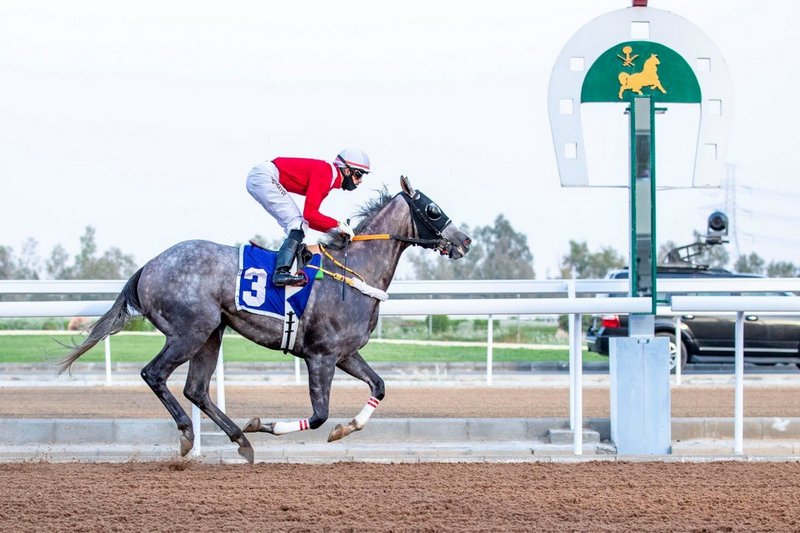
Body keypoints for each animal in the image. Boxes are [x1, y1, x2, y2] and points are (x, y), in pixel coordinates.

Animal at [59, 177, 472, 460]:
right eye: (433, 210)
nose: (465, 240)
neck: (353, 270)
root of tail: (148, 267)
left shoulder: (345, 354)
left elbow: (379, 386)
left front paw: (345, 429)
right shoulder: (321, 356)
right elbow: (318, 415)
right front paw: (266, 425)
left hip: (211, 333)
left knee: (196, 389)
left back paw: (240, 440)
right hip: (189, 331)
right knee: (154, 374)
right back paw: (190, 434)